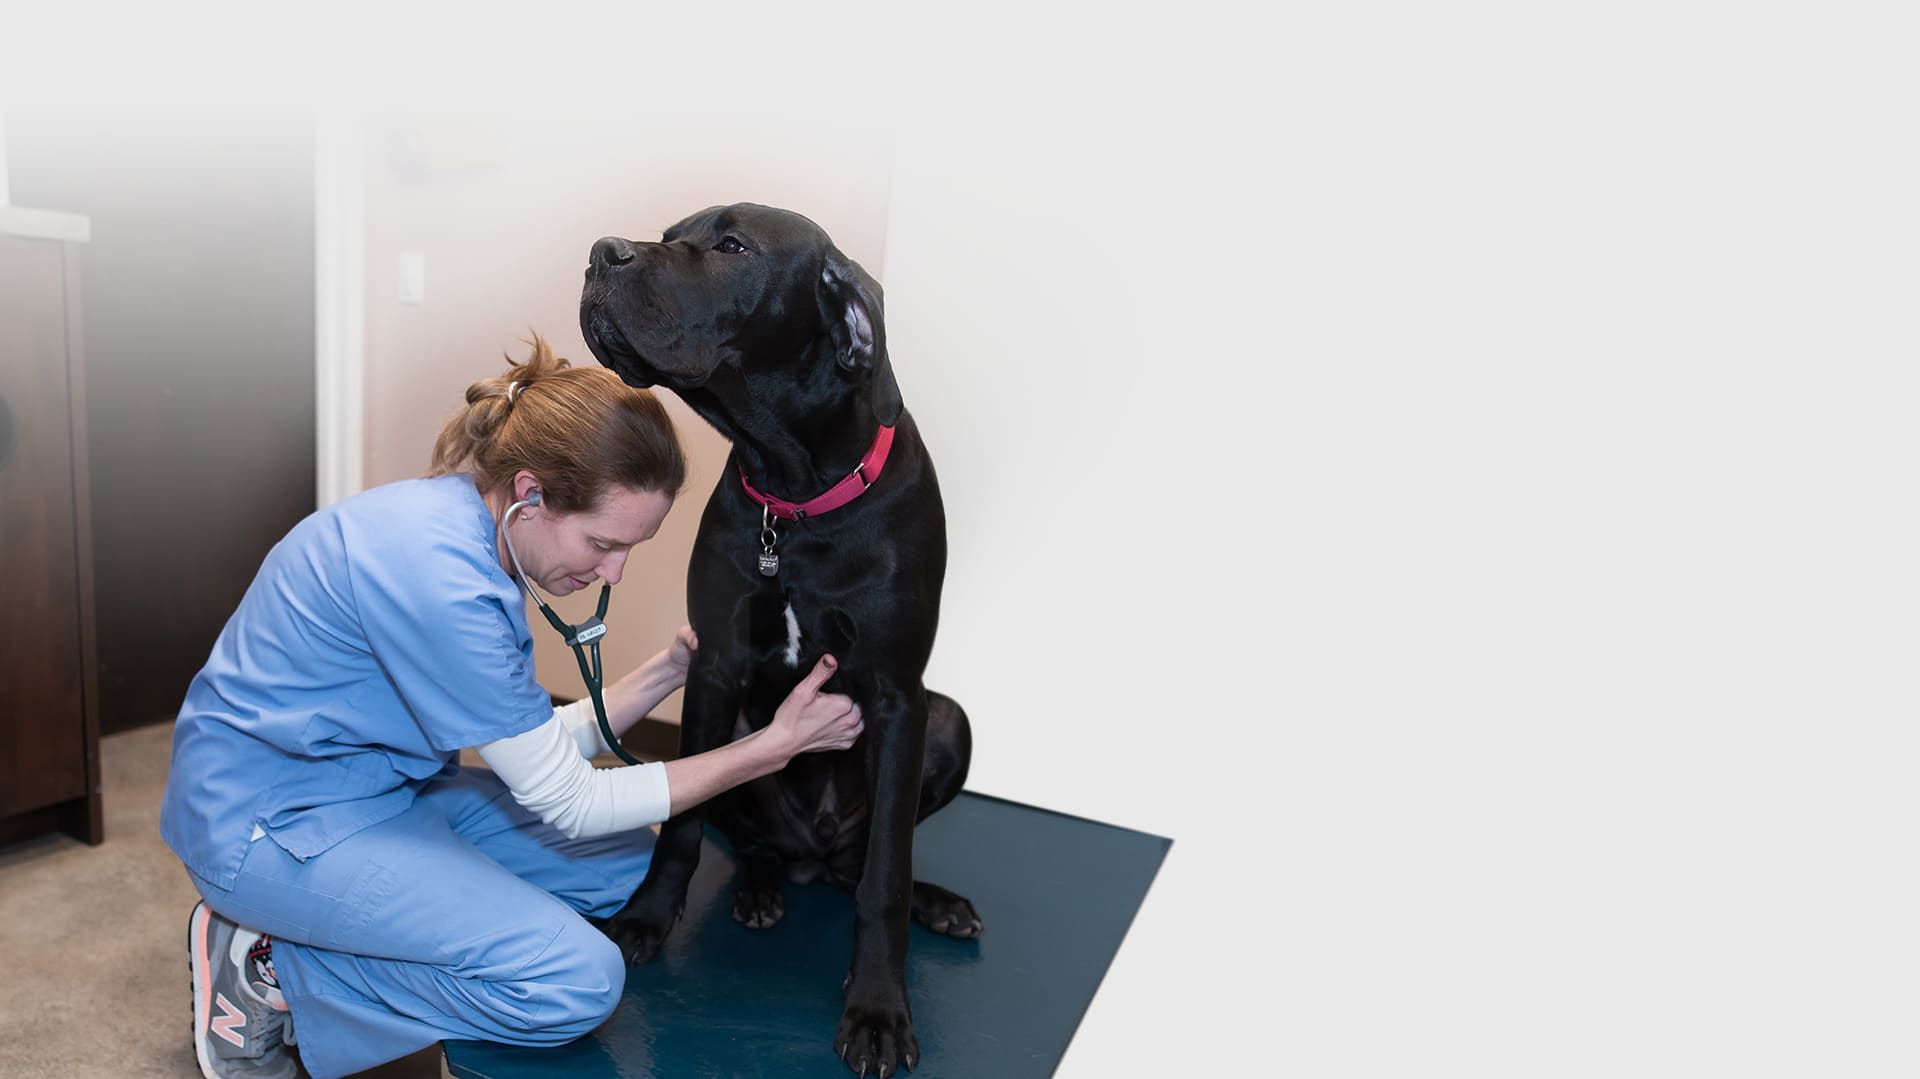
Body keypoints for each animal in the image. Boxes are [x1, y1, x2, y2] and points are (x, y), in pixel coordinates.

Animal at [576, 203, 983, 1075]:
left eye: (733, 247)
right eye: (673, 234)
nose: (599, 252)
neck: (796, 496)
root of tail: (814, 853)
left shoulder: (898, 697)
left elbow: (885, 877)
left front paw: (877, 1007)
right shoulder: (714, 667)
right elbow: (681, 826)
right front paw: (646, 918)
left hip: (948, 721)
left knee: (865, 864)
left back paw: (932, 900)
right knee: (747, 834)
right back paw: (761, 884)